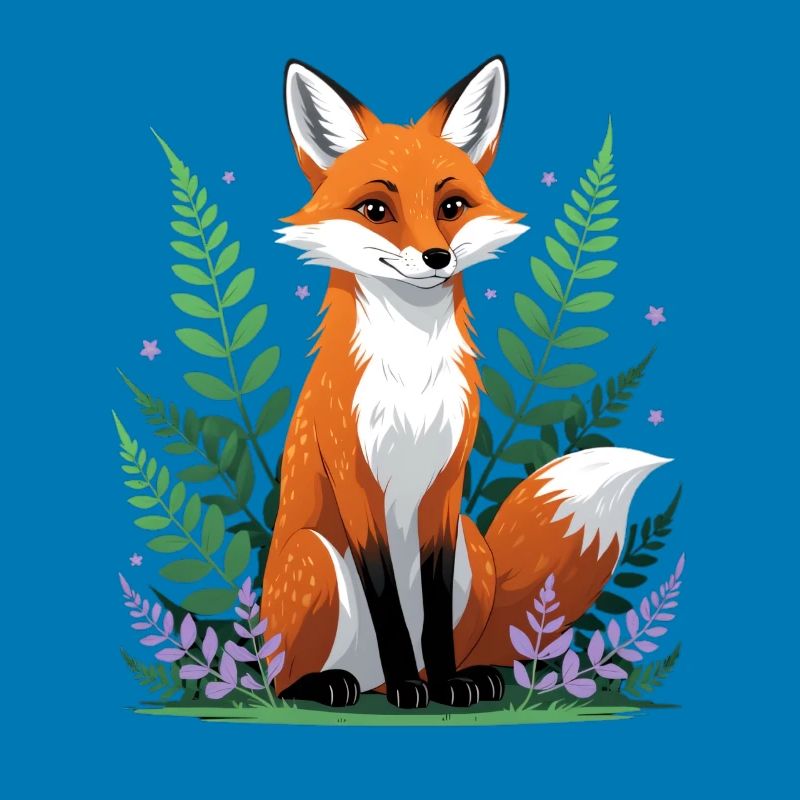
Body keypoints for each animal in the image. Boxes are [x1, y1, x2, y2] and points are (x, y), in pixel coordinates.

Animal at [260, 55, 670, 708]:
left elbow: (428, 605)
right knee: (282, 677)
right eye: (376, 211)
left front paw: (447, 681)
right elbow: (390, 605)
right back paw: (339, 683)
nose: (436, 257)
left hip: (473, 551)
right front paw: (412, 686)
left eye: (451, 206)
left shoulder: (447, 485)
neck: (412, 377)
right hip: (312, 559)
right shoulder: (355, 480)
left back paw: (449, 677)